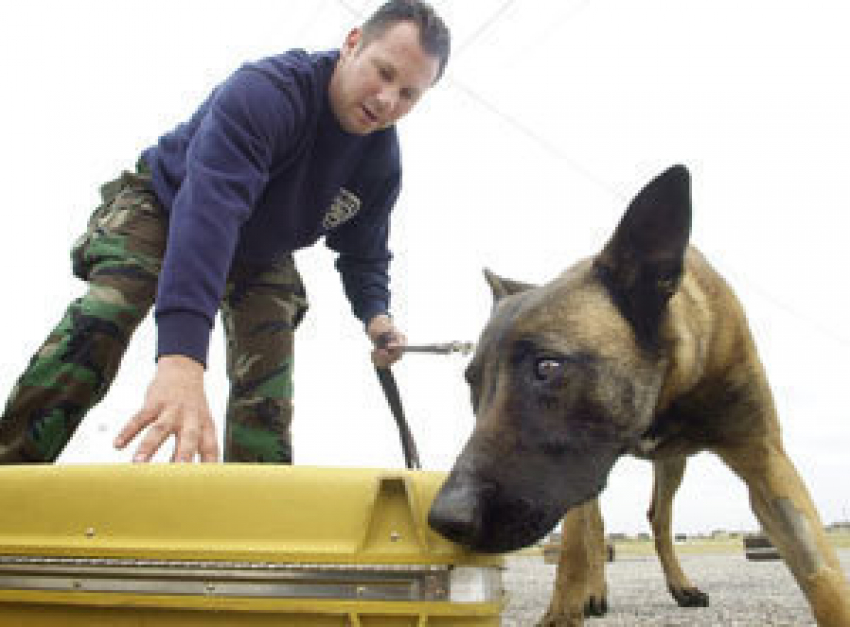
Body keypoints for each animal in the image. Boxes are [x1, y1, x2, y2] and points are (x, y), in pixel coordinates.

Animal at [430, 167, 848, 627]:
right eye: (472, 384)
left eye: (547, 367)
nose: (444, 519)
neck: (666, 388)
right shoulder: (574, 471)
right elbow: (576, 545)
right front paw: (563, 610)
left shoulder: (765, 460)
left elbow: (819, 566)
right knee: (594, 527)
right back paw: (594, 591)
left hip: (670, 464)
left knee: (658, 518)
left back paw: (680, 585)